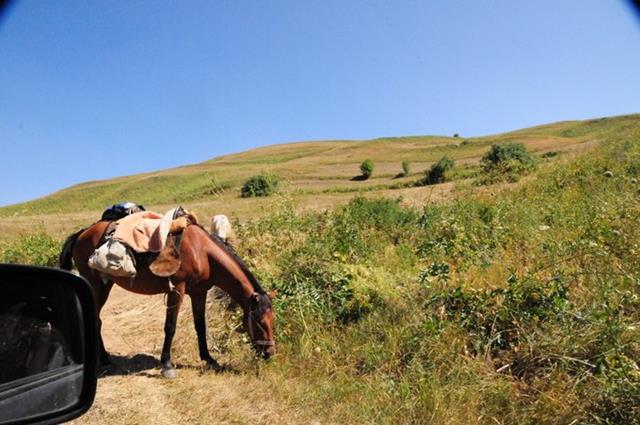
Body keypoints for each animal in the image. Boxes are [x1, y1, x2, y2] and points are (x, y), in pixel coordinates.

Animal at [57, 220, 272, 376]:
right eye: (260, 322)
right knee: (95, 319)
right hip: (96, 285)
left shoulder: (199, 293)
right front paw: (167, 364)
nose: (270, 353)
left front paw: (209, 359)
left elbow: (200, 326)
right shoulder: (177, 290)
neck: (202, 251)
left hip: (105, 284)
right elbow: (170, 327)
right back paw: (104, 361)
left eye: (273, 321)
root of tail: (81, 233)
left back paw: (105, 358)